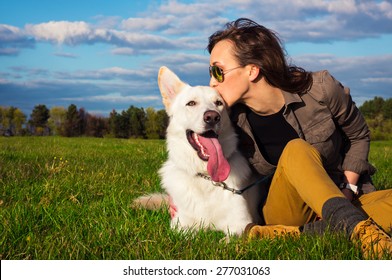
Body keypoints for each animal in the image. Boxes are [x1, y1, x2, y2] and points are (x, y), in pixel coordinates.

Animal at [133, 66, 264, 235]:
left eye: (218, 103)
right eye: (191, 103)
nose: (212, 117)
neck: (206, 176)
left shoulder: (242, 225)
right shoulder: (180, 225)